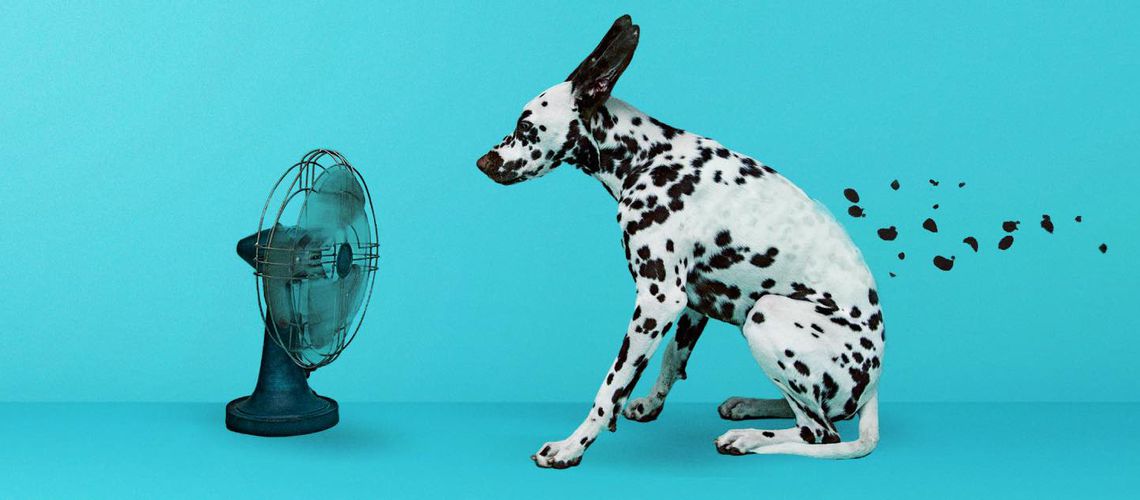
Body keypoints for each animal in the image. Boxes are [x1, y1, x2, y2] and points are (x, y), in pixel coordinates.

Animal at [476, 16, 884, 469]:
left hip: (766, 314)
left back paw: (746, 438)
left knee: (820, 431)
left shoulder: (657, 301)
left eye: (525, 127)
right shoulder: (693, 303)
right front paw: (649, 404)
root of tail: (873, 388)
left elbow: (611, 385)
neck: (650, 157)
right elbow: (673, 358)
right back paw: (749, 405)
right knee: (812, 413)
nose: (483, 163)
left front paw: (572, 445)